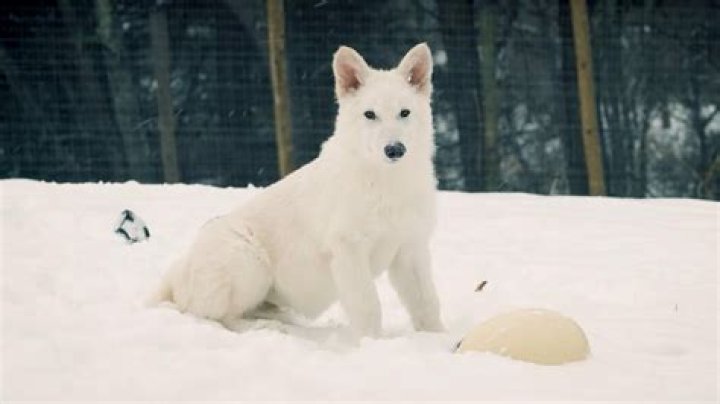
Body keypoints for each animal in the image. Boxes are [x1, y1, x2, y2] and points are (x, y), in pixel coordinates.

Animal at [152, 43, 443, 337]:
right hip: (248, 261)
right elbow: (368, 306)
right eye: (370, 115)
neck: (386, 181)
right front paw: (371, 343)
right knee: (220, 318)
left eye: (404, 113)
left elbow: (427, 303)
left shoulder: (410, 250)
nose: (394, 149)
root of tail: (174, 279)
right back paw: (266, 328)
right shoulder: (349, 251)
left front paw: (438, 339)